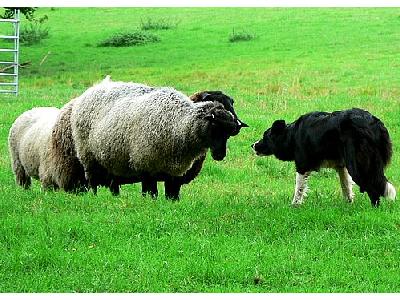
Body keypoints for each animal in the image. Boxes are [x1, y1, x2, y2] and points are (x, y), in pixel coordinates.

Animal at [70, 77, 242, 199]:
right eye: (215, 127)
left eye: (232, 104)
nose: (220, 155)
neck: (180, 124)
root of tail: (93, 88)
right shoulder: (145, 167)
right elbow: (151, 194)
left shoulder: (173, 175)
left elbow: (172, 197)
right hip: (89, 158)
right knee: (93, 183)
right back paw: (95, 198)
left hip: (111, 161)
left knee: (113, 185)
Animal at [252, 109, 396, 207]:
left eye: (265, 137)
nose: (252, 145)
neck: (292, 134)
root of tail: (376, 125)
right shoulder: (341, 166)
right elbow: (346, 186)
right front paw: (349, 203)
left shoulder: (302, 165)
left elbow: (299, 188)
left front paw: (294, 205)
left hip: (358, 166)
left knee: (373, 188)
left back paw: (374, 209)